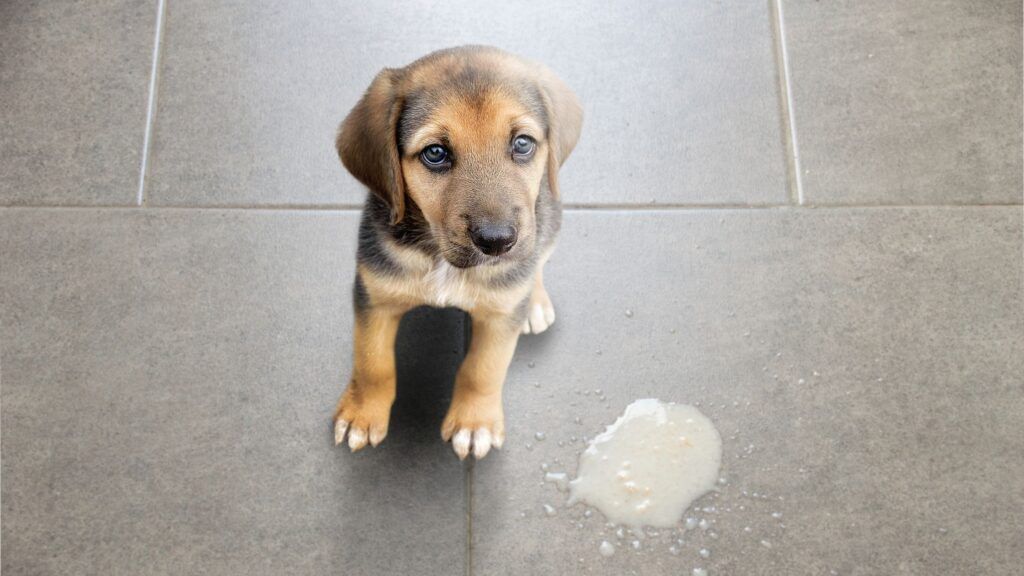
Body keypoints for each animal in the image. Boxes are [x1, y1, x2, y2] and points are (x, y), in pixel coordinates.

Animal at [331, 45, 581, 457]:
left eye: (522, 143)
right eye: (435, 153)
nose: (497, 241)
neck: (440, 259)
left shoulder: (500, 317)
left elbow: (483, 369)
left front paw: (474, 423)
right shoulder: (374, 295)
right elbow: (372, 362)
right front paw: (362, 414)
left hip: (549, 222)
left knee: (538, 262)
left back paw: (535, 302)